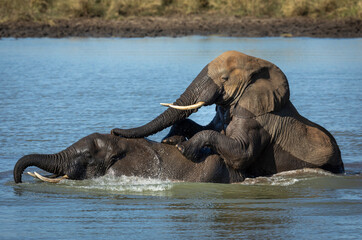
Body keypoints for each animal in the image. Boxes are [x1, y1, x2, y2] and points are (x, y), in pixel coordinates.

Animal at [111, 50, 344, 175]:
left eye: (224, 78)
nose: (113, 130)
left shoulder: (257, 118)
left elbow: (241, 153)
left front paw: (183, 148)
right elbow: (204, 126)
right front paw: (170, 141)